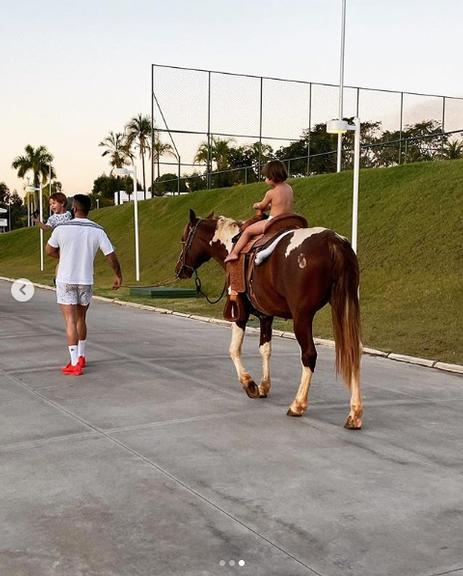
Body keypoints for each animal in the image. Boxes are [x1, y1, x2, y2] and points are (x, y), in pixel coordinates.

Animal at [176, 210, 364, 428]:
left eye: (184, 239)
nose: (179, 269)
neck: (232, 245)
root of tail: (332, 241)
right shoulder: (266, 316)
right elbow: (265, 349)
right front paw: (264, 386)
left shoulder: (240, 314)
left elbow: (233, 349)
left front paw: (249, 384)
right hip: (345, 305)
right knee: (354, 350)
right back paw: (355, 413)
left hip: (302, 317)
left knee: (309, 355)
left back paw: (298, 404)